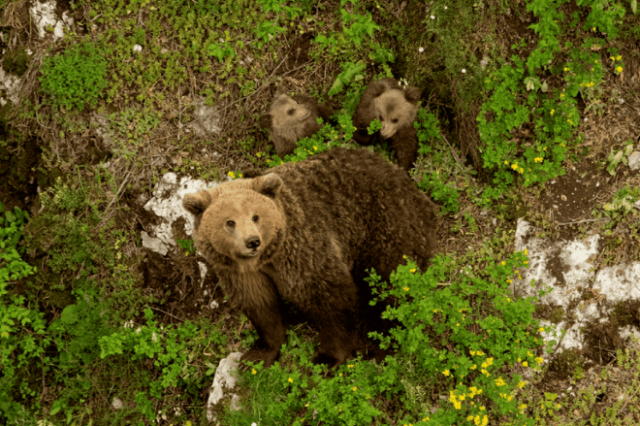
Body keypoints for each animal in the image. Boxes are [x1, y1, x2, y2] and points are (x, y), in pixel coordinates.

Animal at [182, 148, 438, 368]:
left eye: (255, 216)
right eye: (230, 222)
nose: (252, 241)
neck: (267, 258)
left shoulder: (302, 247)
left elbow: (328, 294)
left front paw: (327, 357)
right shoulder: (241, 271)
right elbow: (260, 305)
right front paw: (258, 354)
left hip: (383, 224)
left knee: (390, 284)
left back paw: (380, 344)